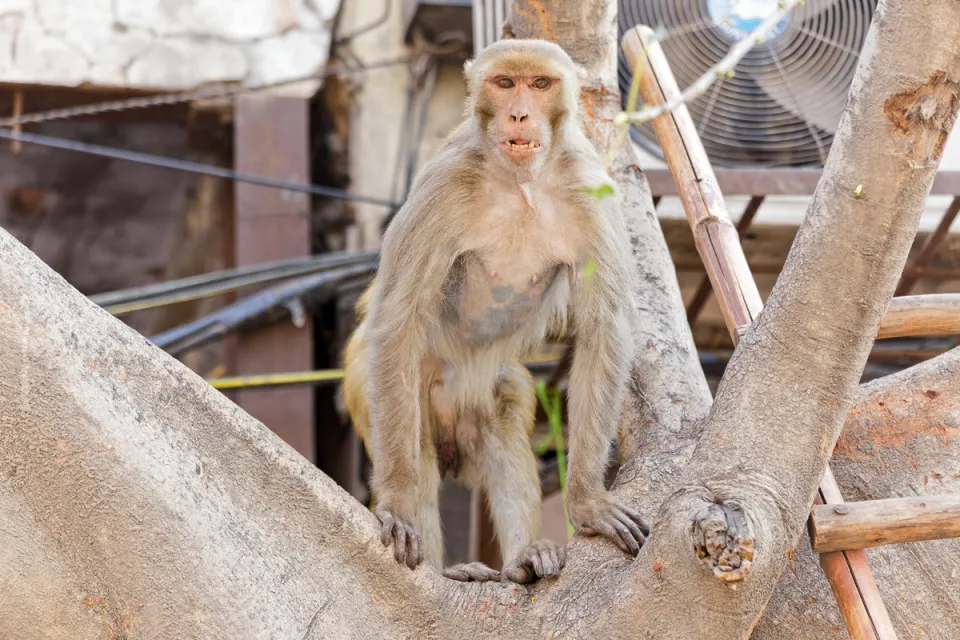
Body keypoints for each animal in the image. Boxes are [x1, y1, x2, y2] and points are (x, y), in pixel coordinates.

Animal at [342, 38, 649, 584]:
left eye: (540, 84)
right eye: (505, 84)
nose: (519, 113)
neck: (522, 185)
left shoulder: (590, 186)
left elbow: (604, 329)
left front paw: (587, 503)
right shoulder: (443, 183)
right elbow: (397, 316)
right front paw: (397, 506)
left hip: (482, 389)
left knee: (503, 409)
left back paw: (524, 558)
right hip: (370, 379)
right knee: (412, 429)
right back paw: (444, 570)